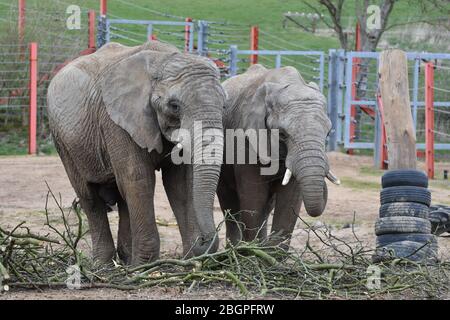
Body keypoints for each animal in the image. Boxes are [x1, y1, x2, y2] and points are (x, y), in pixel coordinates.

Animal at [47, 41, 227, 266]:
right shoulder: (115, 122)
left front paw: (191, 259)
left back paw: (126, 261)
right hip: (63, 140)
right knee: (90, 197)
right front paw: (146, 266)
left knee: (123, 197)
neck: (161, 59)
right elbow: (139, 179)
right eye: (174, 106)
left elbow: (179, 184)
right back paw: (104, 265)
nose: (204, 240)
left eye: (223, 104)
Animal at [216, 63, 340, 246]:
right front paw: (252, 251)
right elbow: (253, 197)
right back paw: (235, 248)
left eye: (328, 133)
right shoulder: (245, 136)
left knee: (267, 207)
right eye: (282, 134)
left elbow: (290, 200)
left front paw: (270, 253)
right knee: (229, 202)